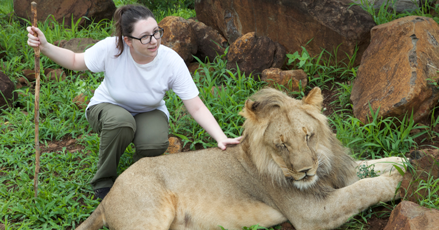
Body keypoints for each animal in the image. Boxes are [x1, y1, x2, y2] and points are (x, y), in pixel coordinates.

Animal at [75, 87, 406, 230]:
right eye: (281, 145)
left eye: (308, 136)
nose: (304, 171)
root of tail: (109, 195)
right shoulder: (311, 212)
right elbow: (361, 190)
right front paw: (397, 182)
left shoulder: (336, 171)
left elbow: (368, 168)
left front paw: (403, 162)